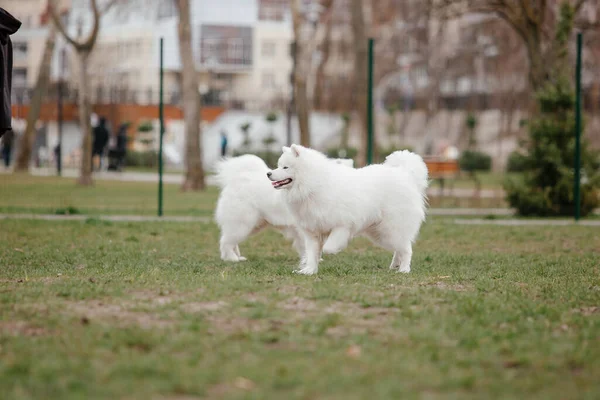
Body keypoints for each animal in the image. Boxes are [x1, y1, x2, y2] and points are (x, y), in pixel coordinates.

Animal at [214, 154, 352, 262]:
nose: (269, 173)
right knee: (225, 241)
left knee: (231, 240)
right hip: (242, 224)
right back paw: (231, 258)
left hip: (253, 225)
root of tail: (237, 178)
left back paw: (238, 256)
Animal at [268, 146, 426, 276]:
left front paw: (332, 251)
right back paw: (395, 265)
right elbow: (312, 254)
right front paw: (309, 271)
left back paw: (404, 269)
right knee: (399, 248)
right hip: (380, 233)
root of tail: (405, 174)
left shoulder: (342, 226)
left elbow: (328, 247)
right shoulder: (312, 232)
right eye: (278, 166)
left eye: (285, 167)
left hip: (391, 228)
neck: (312, 186)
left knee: (406, 248)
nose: (268, 173)